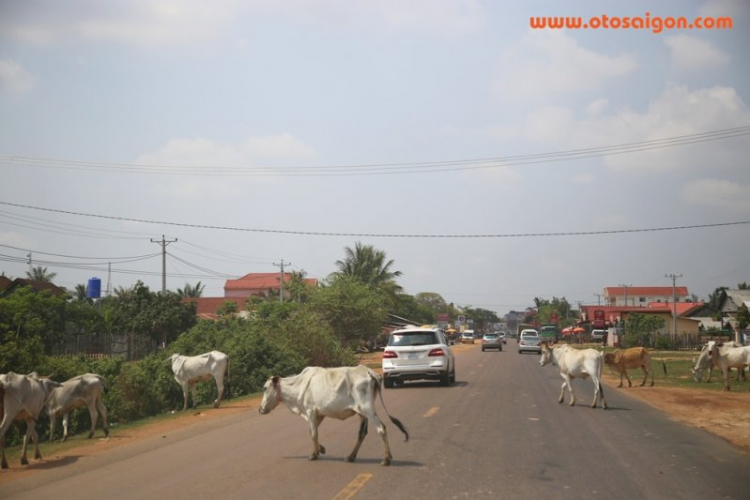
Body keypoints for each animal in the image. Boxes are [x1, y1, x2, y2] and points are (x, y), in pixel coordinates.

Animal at [258, 364, 412, 464]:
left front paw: (314, 454)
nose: (260, 409)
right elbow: (312, 432)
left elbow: (313, 433)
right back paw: (351, 457)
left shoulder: (310, 411)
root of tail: (370, 373)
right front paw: (321, 449)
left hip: (368, 409)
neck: (298, 385)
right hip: (362, 413)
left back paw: (385, 459)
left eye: (265, 388)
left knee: (381, 428)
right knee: (362, 433)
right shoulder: (319, 413)